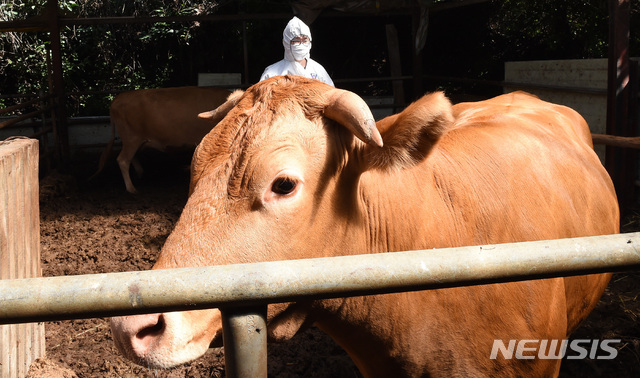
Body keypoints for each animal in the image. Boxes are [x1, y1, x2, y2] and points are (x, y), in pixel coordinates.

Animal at [90, 85, 230, 192]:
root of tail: (119, 97)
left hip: (134, 140)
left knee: (131, 157)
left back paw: (140, 173)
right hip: (131, 138)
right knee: (123, 160)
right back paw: (131, 188)